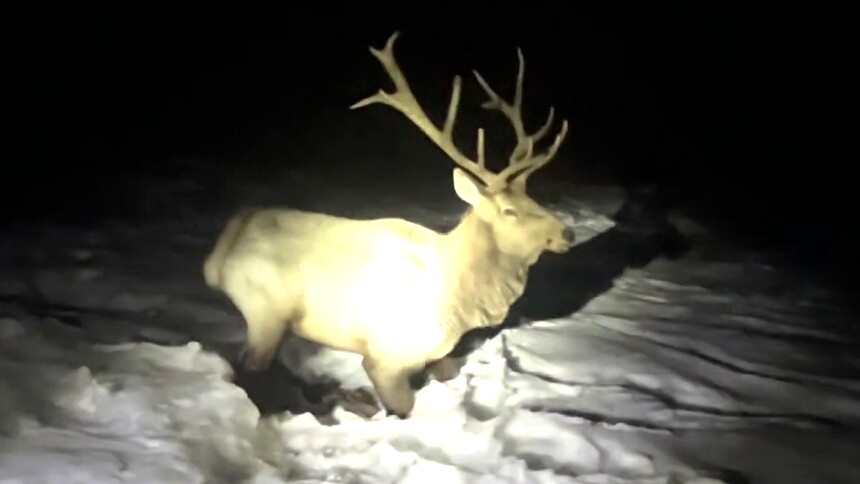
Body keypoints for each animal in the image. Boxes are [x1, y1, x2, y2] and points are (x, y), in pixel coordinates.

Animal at [203, 31, 574, 418]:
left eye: (534, 199)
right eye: (509, 211)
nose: (567, 232)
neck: (458, 302)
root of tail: (219, 256)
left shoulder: (437, 354)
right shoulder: (386, 358)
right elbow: (404, 407)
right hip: (265, 311)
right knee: (251, 371)